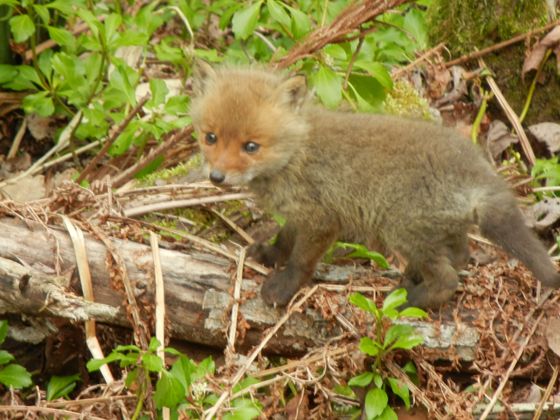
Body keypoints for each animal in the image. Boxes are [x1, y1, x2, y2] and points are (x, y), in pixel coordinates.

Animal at [190, 60, 560, 306]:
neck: (296, 154)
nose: (216, 177)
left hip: (402, 228)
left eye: (251, 146)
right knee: (461, 256)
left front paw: (282, 289)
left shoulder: (323, 219)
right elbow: (284, 241)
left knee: (448, 278)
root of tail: (478, 167)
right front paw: (268, 254)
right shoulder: (301, 214)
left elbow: (300, 261)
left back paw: (408, 300)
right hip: (438, 228)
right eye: (211, 137)